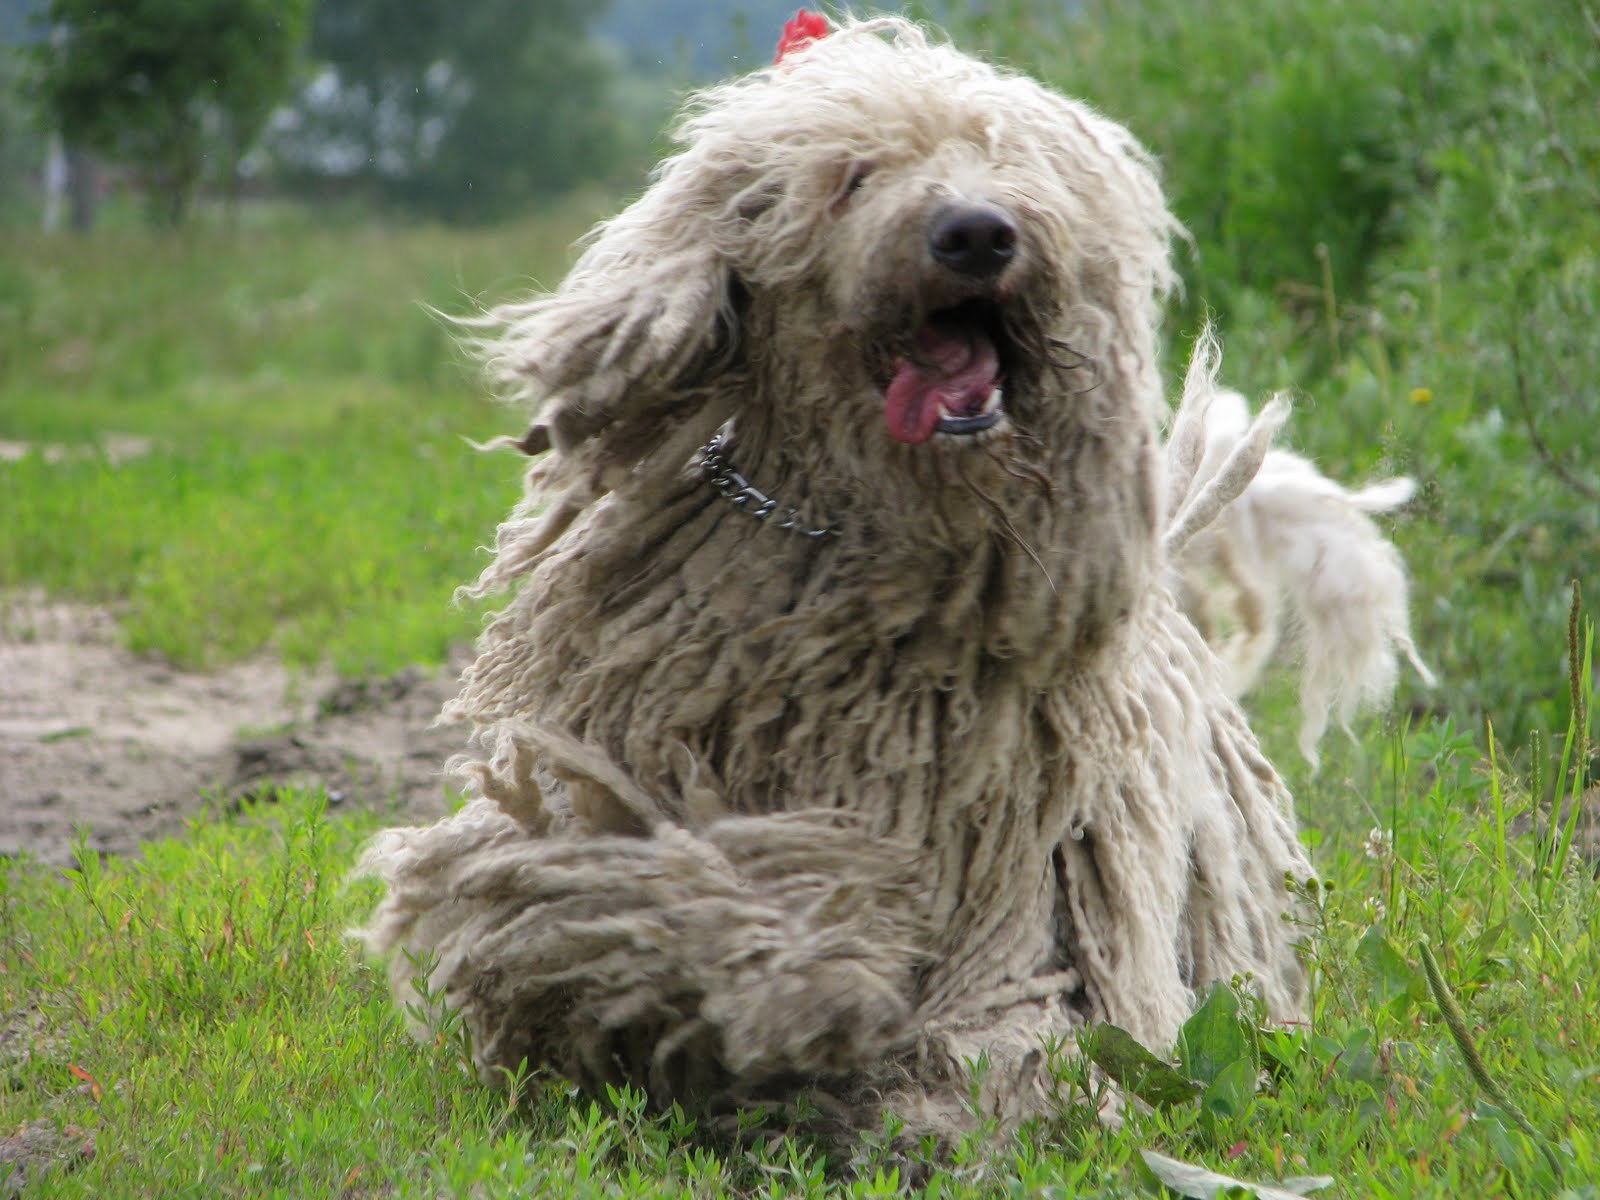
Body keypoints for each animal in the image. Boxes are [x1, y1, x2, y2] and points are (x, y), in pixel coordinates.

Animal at [360, 16, 1427, 1145]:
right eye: (852, 176)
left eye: (1010, 158)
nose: (977, 234)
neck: (869, 567)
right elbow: (599, 886)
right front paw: (738, 959)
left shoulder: (1027, 901)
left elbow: (1010, 1032)